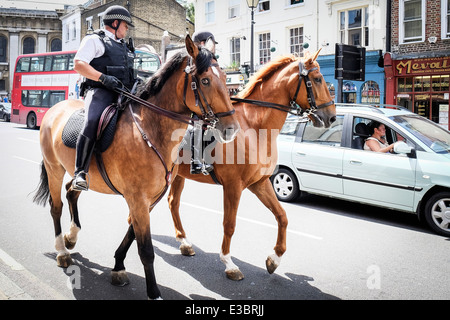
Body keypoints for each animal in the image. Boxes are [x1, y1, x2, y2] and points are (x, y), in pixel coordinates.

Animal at [32, 35, 239, 300]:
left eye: (224, 77)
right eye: (205, 80)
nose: (231, 128)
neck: (152, 129)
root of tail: (56, 108)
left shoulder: (149, 198)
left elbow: (132, 232)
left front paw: (118, 267)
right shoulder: (137, 197)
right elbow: (146, 249)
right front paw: (154, 292)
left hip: (80, 171)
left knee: (71, 191)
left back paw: (71, 237)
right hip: (54, 168)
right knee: (56, 206)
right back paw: (61, 250)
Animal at [167, 49, 336, 280]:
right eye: (318, 79)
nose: (332, 117)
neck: (255, 128)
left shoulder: (260, 183)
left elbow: (282, 216)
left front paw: (275, 258)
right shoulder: (233, 186)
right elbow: (229, 224)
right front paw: (229, 263)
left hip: (178, 175)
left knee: (173, 202)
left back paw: (184, 242)